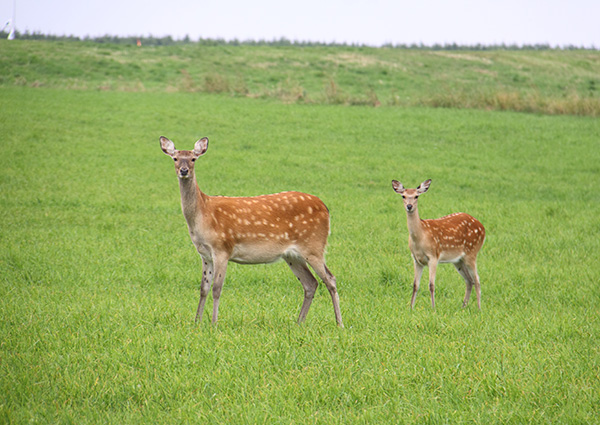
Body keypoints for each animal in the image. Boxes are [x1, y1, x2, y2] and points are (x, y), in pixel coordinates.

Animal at [161, 137, 342, 326]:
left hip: (314, 246)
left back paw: (339, 323)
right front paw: (197, 322)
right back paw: (299, 322)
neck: (203, 215)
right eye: (175, 158)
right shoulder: (204, 254)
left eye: (193, 159)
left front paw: (214, 323)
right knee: (310, 283)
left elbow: (217, 288)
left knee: (330, 279)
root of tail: (325, 208)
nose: (184, 170)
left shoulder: (222, 248)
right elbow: (203, 288)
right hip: (292, 255)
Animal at [392, 178, 486, 308]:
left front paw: (433, 308)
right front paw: (411, 307)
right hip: (458, 260)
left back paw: (478, 308)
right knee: (469, 280)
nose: (409, 206)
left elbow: (431, 285)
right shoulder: (416, 259)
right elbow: (415, 285)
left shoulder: (433, 256)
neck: (420, 238)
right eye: (403, 196)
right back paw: (463, 307)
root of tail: (483, 228)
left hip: (472, 252)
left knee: (477, 280)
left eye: (416, 196)